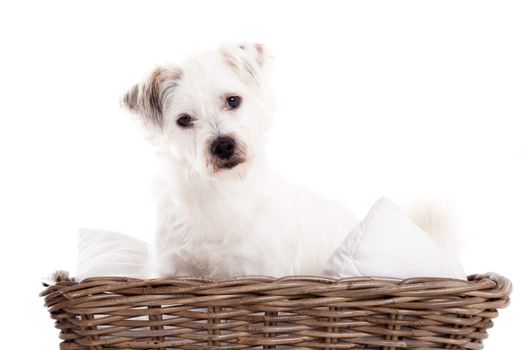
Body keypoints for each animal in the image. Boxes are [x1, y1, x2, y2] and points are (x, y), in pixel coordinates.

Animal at [122, 43, 360, 278]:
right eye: (184, 120)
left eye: (233, 100)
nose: (223, 146)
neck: (218, 191)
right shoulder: (170, 268)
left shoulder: (256, 269)